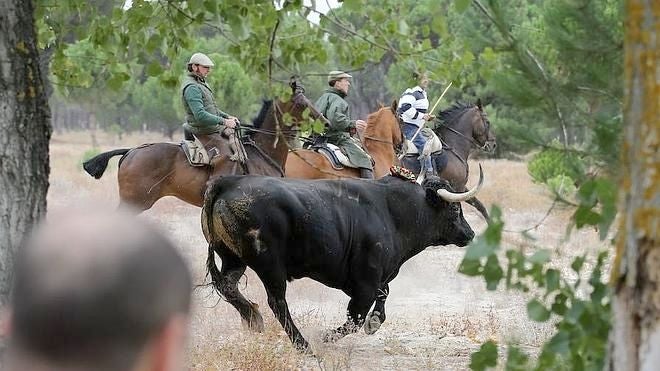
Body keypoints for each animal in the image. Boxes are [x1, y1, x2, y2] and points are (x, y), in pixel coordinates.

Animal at [201, 167, 484, 354]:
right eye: (455, 208)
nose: (470, 234)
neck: (393, 212)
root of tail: (229, 182)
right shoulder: (365, 281)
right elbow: (355, 317)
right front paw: (325, 336)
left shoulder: (377, 277)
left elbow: (381, 299)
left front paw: (374, 323)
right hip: (269, 264)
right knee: (277, 302)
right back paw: (303, 345)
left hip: (232, 258)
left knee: (229, 287)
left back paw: (253, 318)